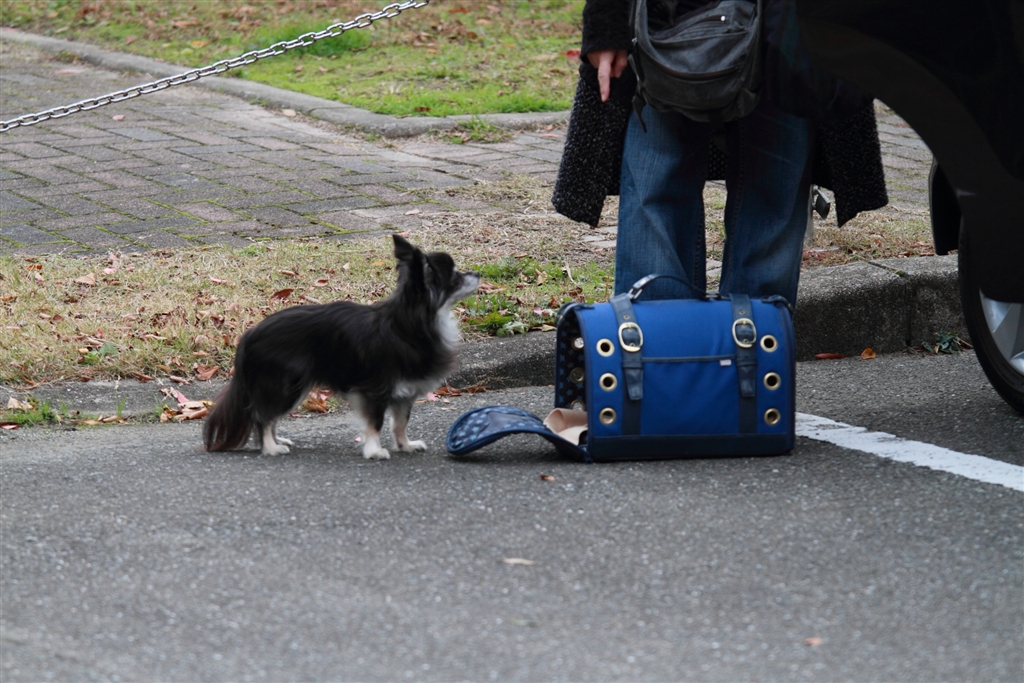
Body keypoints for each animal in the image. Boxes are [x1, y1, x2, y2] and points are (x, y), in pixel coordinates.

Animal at [203, 234, 480, 459]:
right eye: (456, 277)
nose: (477, 274)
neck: (412, 324)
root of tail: (249, 336)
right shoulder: (374, 390)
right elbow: (376, 423)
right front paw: (374, 451)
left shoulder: (404, 394)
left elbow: (400, 423)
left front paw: (406, 445)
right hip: (288, 385)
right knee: (263, 416)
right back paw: (270, 447)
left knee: (267, 415)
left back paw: (277, 439)